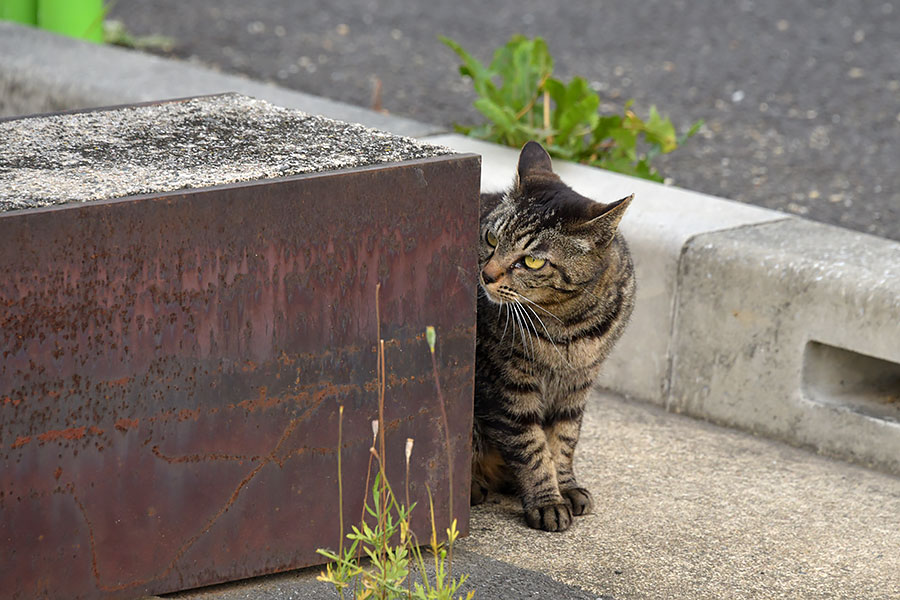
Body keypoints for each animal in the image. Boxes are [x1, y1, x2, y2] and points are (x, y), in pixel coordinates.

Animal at [472, 143, 632, 532]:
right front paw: (546, 500)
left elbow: (564, 439)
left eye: (532, 261)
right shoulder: (507, 385)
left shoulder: (578, 384)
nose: (486, 274)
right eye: (491, 238)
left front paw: (565, 485)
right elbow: (530, 445)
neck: (566, 326)